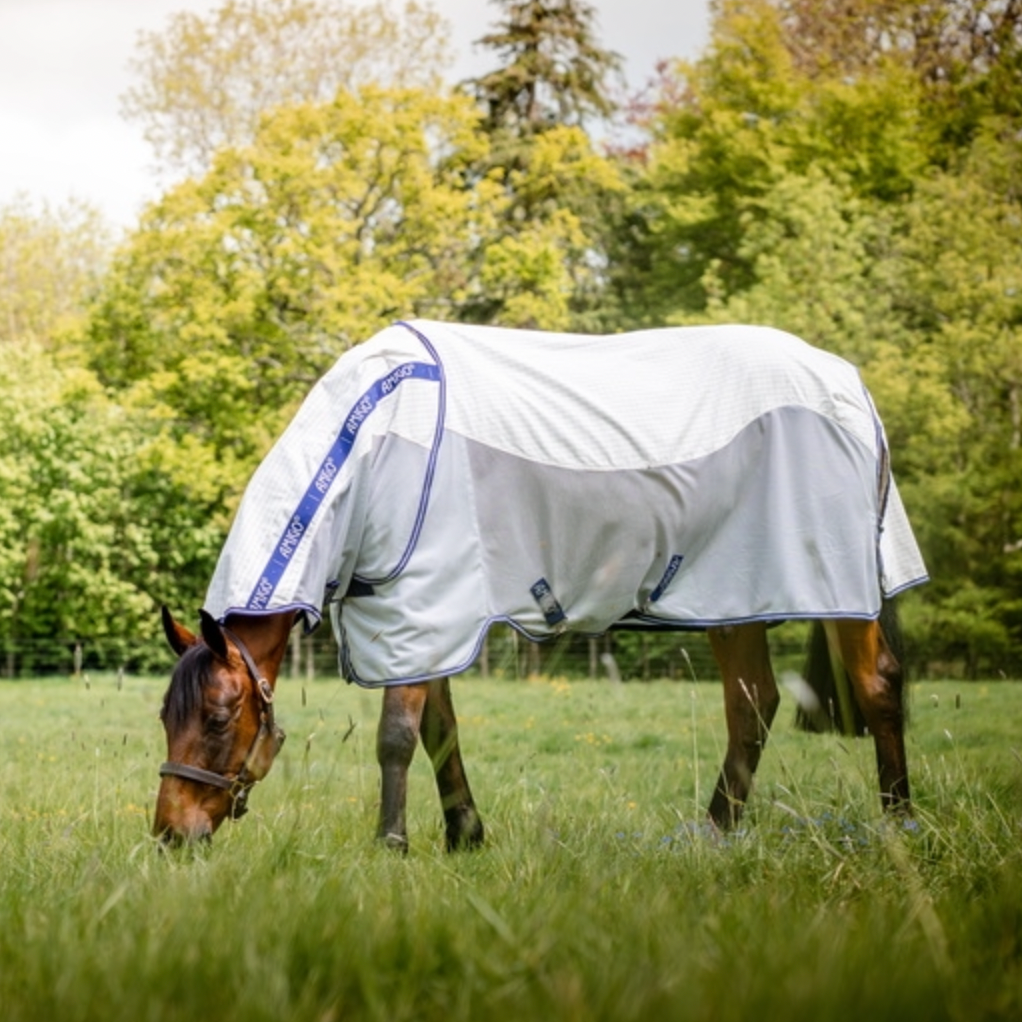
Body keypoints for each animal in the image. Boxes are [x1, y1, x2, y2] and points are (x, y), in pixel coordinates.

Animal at [153, 320, 927, 846]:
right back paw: (713, 835)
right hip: (734, 598)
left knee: (876, 685)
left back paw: (900, 823)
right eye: (166, 717)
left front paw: (392, 845)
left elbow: (397, 737)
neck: (369, 448)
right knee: (753, 705)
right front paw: (465, 836)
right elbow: (439, 731)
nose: (170, 834)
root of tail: (849, 384)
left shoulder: (424, 608)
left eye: (218, 718)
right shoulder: (426, 622)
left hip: (829, 592)